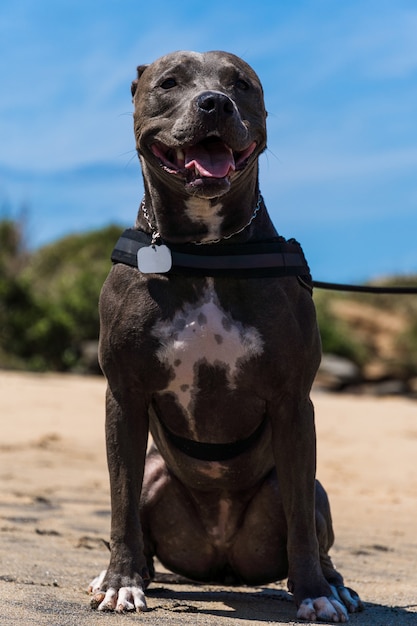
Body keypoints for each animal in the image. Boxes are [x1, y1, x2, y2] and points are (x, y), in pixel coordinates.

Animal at [88, 50, 360, 620]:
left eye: (242, 84)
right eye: (170, 82)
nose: (214, 103)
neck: (207, 249)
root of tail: (222, 558)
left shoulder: (293, 403)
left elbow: (301, 526)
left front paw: (314, 594)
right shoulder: (124, 395)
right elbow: (120, 503)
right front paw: (122, 582)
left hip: (307, 484)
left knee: (310, 518)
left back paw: (333, 584)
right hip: (155, 473)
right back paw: (133, 573)